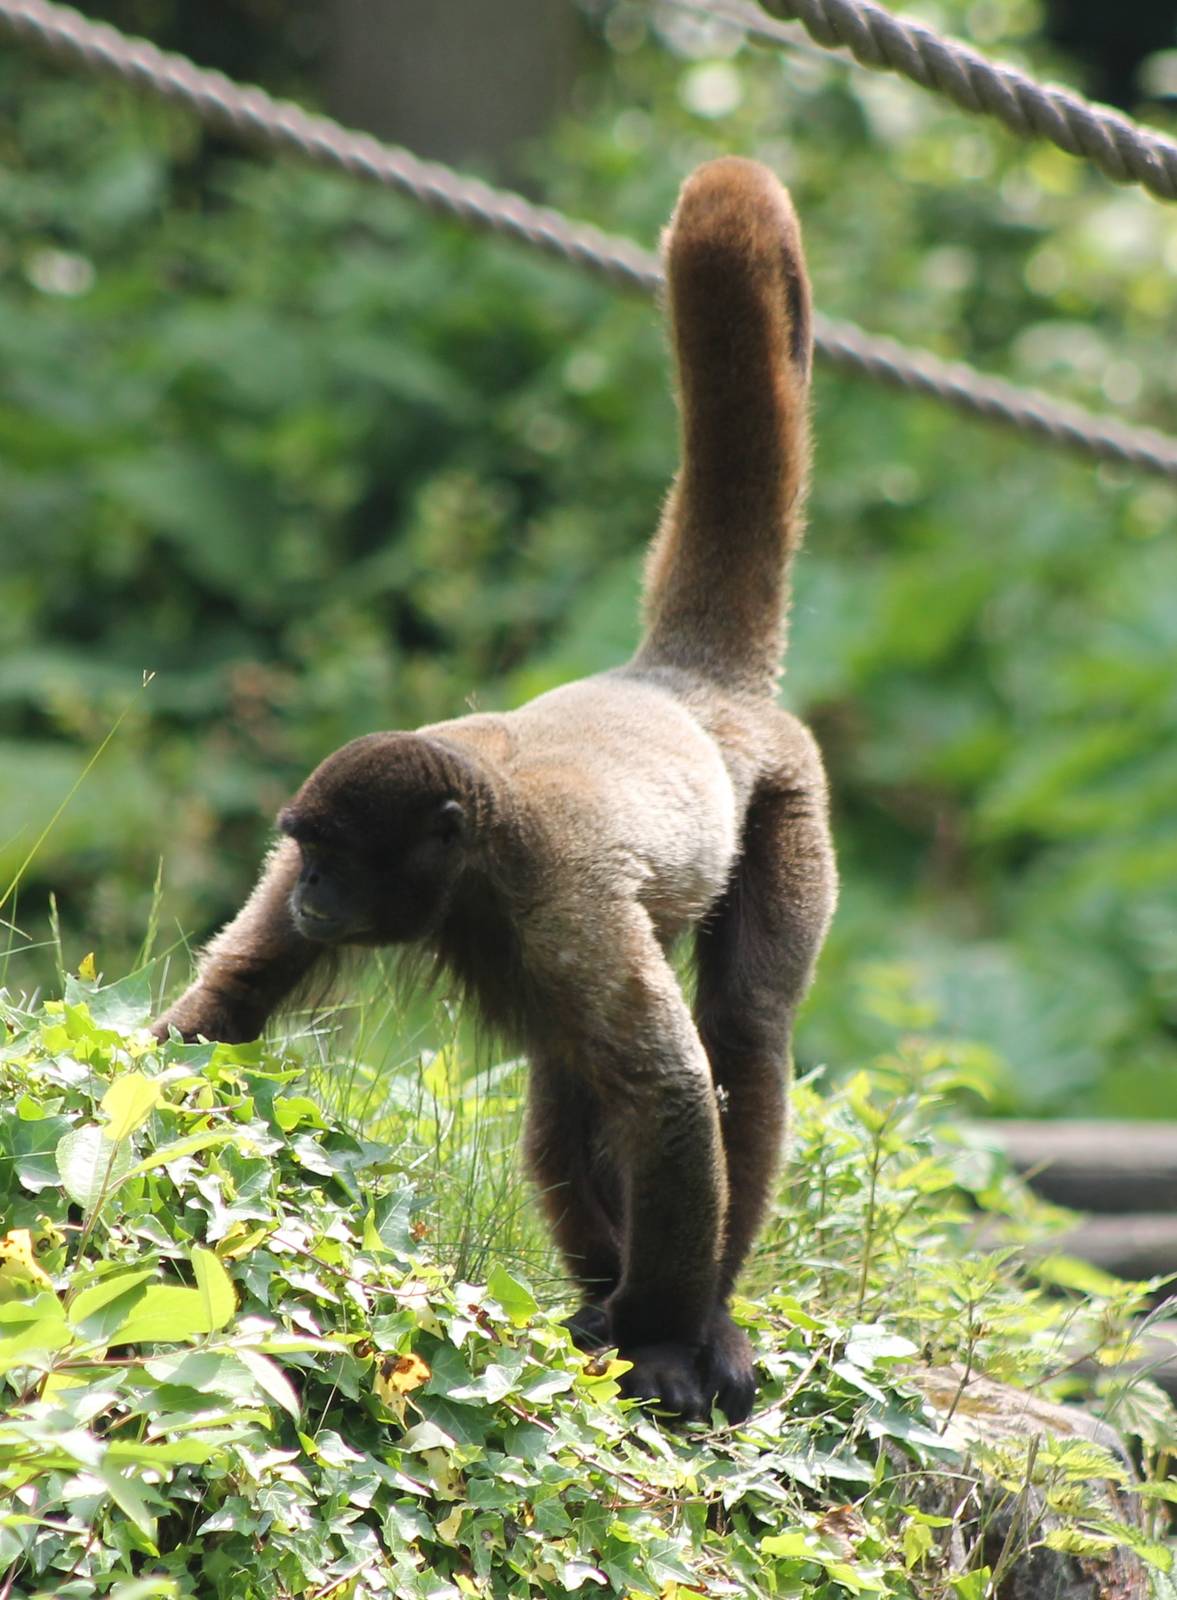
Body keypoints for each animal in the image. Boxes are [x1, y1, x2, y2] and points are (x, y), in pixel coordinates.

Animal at [154, 156, 837, 1423]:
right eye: (302, 851)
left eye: (338, 857)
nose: (308, 889)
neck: (481, 836)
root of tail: (685, 680)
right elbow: (240, 986)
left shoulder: (559, 899)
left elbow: (673, 1093)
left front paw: (662, 1342)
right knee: (569, 1076)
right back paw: (600, 1295)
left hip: (789, 798)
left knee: (740, 1029)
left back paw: (690, 1311)